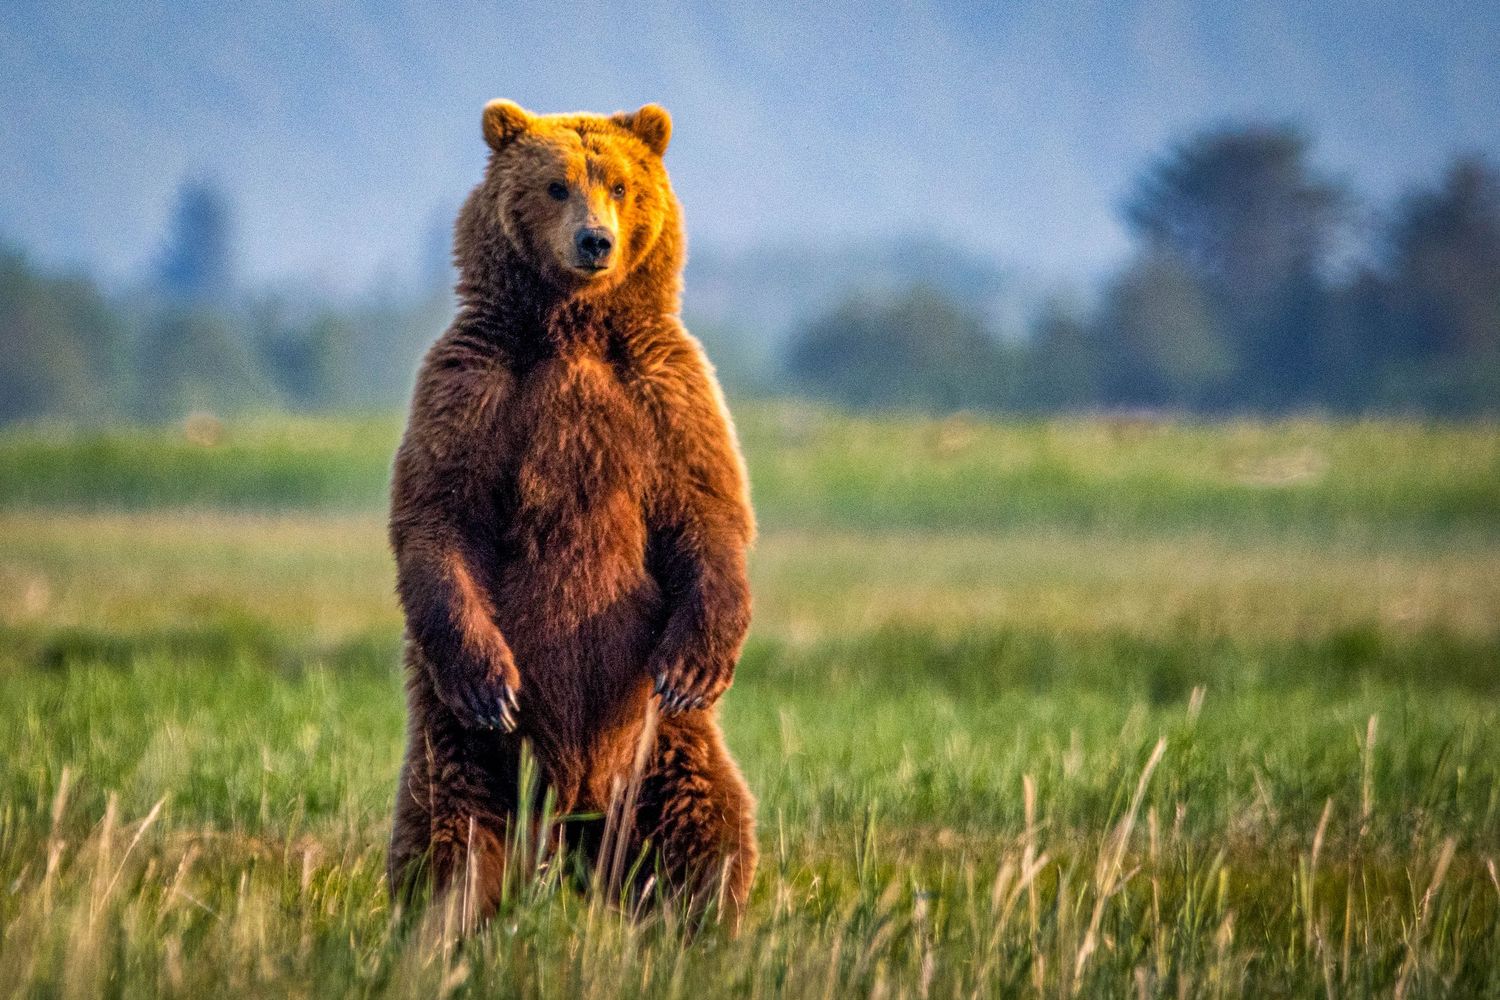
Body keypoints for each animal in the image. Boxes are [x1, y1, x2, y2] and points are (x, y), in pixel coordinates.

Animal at [386, 99, 757, 930]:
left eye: (618, 183)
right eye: (557, 184)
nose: (596, 241)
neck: (575, 327)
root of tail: (581, 793)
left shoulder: (665, 385)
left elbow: (707, 509)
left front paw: (697, 664)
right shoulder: (473, 382)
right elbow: (439, 513)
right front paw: (490, 680)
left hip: (656, 735)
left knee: (704, 819)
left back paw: (705, 921)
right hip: (466, 728)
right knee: (452, 816)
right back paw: (443, 920)